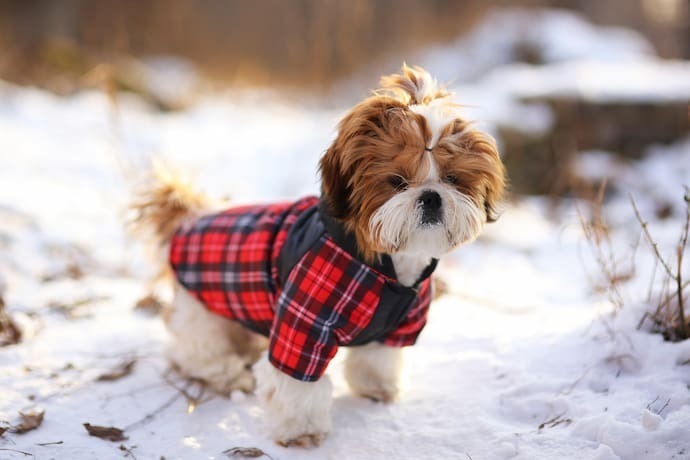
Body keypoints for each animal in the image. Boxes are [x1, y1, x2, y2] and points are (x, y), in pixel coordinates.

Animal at [130, 63, 506, 446]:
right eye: (397, 181)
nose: (431, 196)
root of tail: (188, 221)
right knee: (194, 352)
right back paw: (226, 373)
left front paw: (377, 388)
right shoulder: (303, 324)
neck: (384, 267)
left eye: (453, 179)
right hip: (203, 312)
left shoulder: (396, 324)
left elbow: (377, 358)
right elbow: (296, 384)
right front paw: (302, 430)